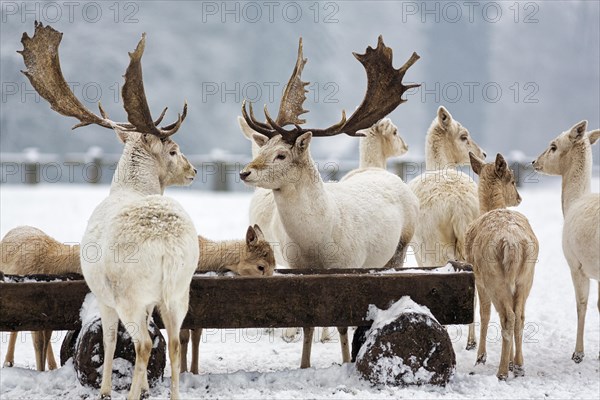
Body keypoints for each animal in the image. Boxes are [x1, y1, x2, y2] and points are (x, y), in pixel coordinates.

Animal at [21, 22, 198, 400]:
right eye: (174, 151)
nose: (192, 171)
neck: (130, 186)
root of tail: (166, 246)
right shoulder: (147, 299)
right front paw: (140, 386)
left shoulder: (104, 296)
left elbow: (111, 339)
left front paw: (105, 389)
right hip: (180, 287)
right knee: (175, 341)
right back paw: (172, 394)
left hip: (129, 291)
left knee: (143, 343)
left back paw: (129, 394)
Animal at [237, 36, 420, 368]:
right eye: (264, 146)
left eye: (281, 154)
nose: (245, 172)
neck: (317, 241)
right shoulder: (298, 269)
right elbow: (308, 320)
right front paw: (303, 364)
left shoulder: (348, 266)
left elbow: (341, 322)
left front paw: (346, 361)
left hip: (400, 248)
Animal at [464, 153, 540, 382]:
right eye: (513, 181)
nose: (519, 198)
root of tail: (512, 243)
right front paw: (513, 362)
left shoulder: (479, 280)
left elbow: (484, 314)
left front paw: (480, 357)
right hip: (527, 277)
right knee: (520, 317)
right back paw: (519, 366)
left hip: (493, 277)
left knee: (507, 317)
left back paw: (502, 372)